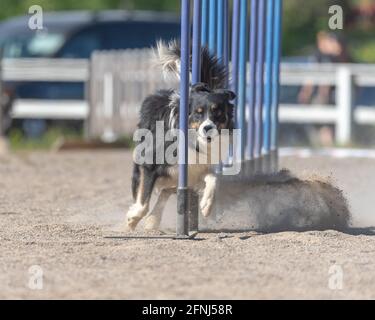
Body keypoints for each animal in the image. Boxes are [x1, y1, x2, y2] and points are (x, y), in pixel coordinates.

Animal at [128, 40, 236, 230]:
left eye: (217, 112)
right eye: (197, 113)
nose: (208, 128)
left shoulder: (196, 170)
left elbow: (214, 179)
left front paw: (206, 206)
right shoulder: (150, 164)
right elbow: (143, 201)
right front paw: (132, 219)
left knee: (166, 191)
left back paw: (154, 219)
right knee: (142, 190)